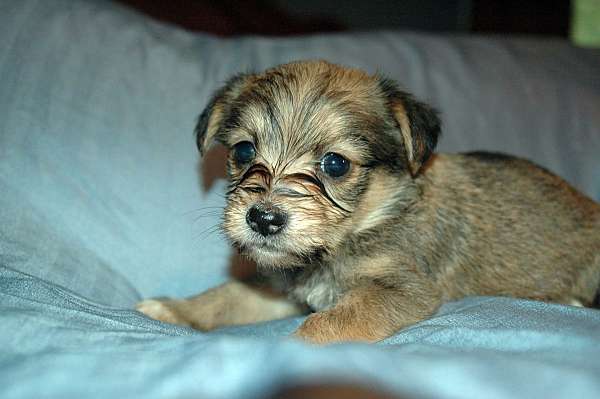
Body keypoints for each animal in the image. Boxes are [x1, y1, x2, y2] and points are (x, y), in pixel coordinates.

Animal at [136, 59, 600, 344]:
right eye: (244, 151)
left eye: (336, 163)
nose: (263, 218)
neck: (369, 221)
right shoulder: (279, 291)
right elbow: (226, 295)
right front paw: (173, 309)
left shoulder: (399, 289)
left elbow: (329, 321)